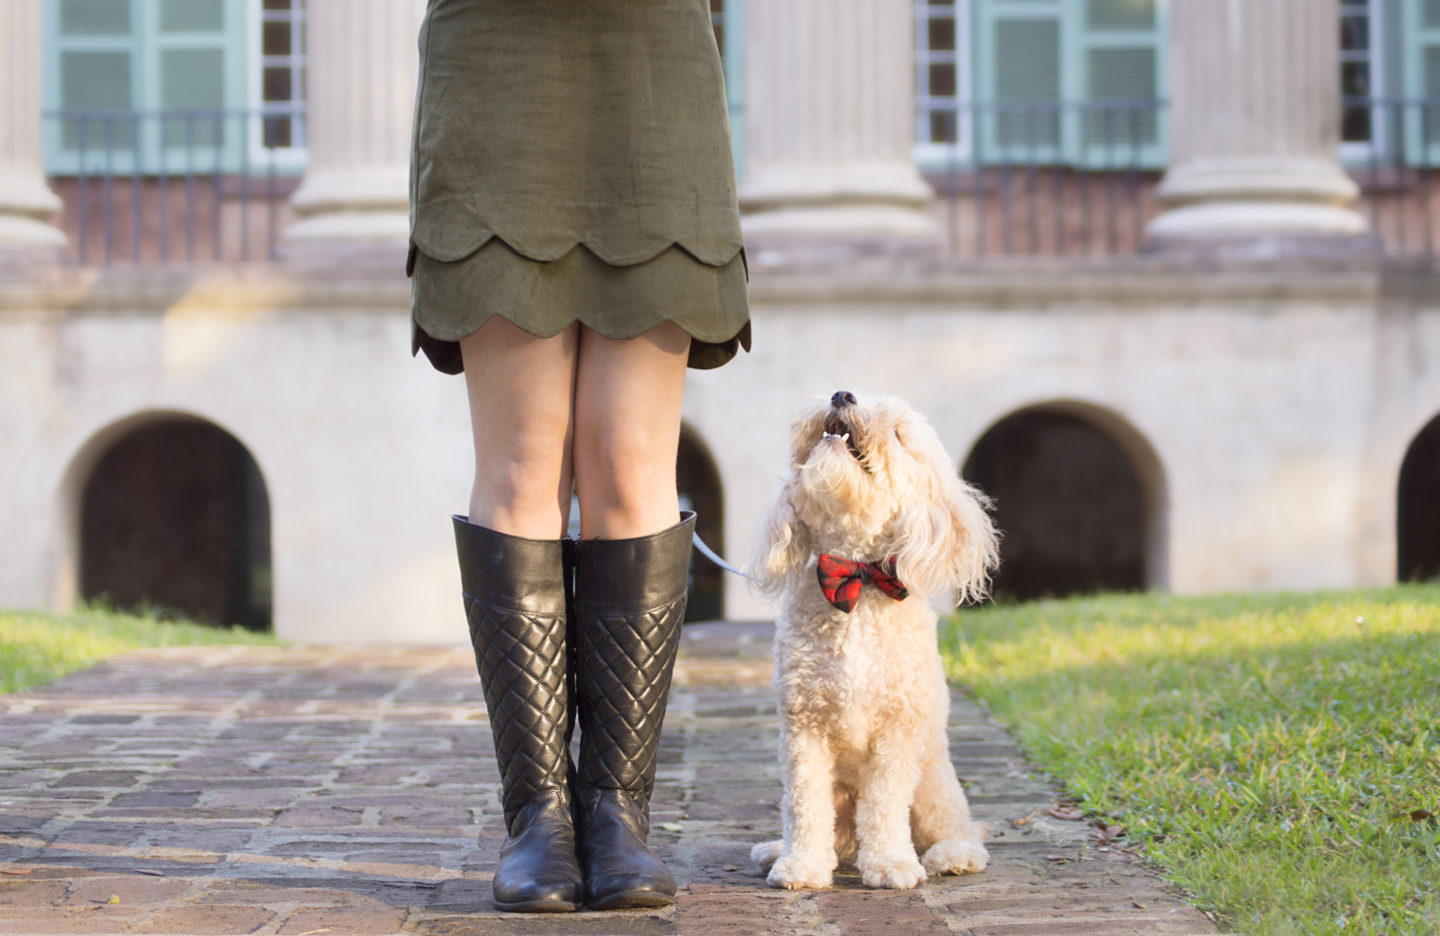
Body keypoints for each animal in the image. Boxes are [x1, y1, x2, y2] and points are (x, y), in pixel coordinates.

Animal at [748, 388, 996, 887]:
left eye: (898, 433)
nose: (842, 394)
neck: (856, 582)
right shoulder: (803, 729)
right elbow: (804, 805)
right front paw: (801, 864)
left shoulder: (896, 730)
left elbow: (884, 804)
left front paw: (890, 863)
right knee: (827, 830)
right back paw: (779, 849)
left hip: (935, 786)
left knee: (954, 828)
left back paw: (951, 855)